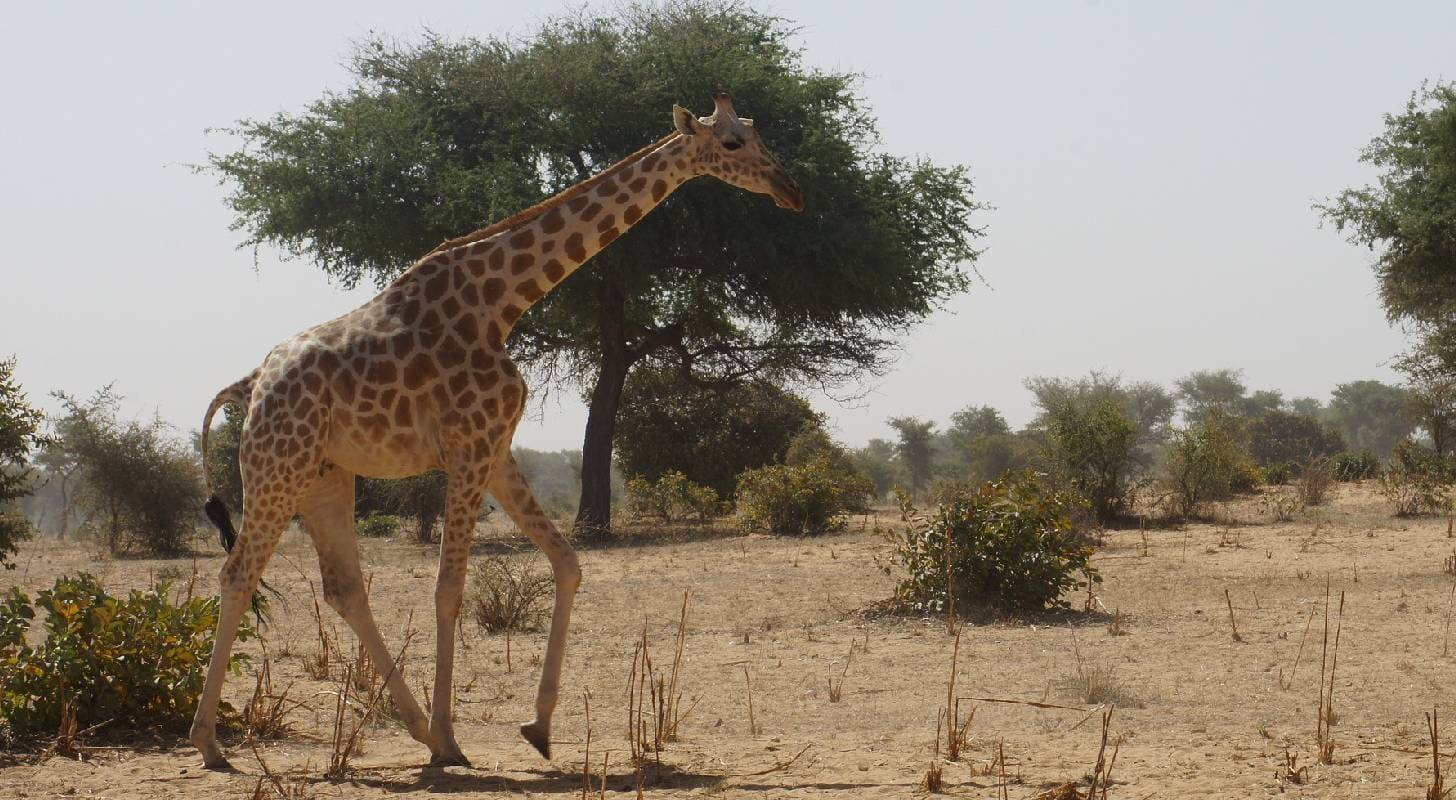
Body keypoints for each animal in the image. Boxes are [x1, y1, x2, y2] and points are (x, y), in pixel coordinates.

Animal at [189, 94, 803, 770]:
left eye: (756, 132)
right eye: (730, 144)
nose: (791, 189)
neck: (501, 301)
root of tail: (249, 385)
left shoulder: (498, 449)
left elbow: (568, 563)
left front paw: (537, 726)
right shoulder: (468, 447)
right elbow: (448, 588)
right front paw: (456, 738)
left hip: (326, 475)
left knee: (345, 588)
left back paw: (416, 729)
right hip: (277, 469)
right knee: (237, 575)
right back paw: (211, 742)